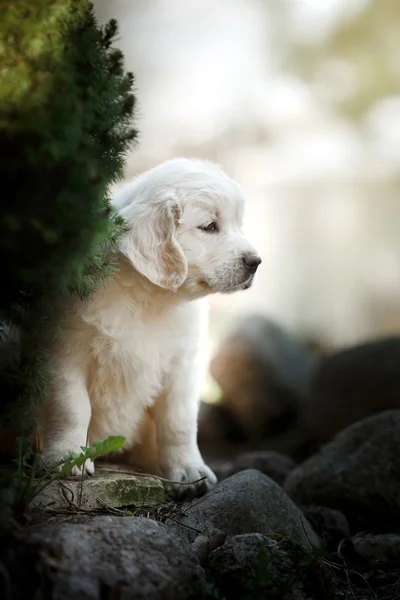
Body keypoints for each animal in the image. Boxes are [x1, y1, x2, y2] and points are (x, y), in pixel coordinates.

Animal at [42, 156, 260, 496]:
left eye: (238, 223)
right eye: (209, 226)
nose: (255, 262)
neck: (151, 300)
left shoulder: (182, 365)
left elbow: (179, 422)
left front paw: (189, 471)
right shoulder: (64, 353)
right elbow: (72, 407)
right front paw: (70, 457)